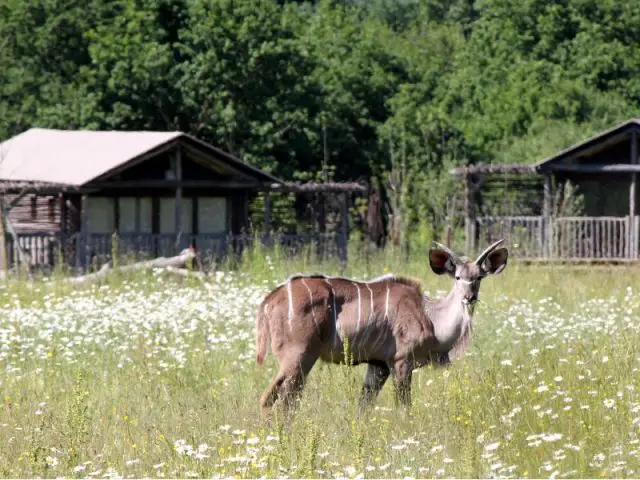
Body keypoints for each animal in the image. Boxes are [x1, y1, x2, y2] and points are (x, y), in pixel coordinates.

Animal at [255, 240, 510, 416]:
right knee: (278, 402)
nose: (469, 297)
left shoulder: (378, 365)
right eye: (457, 277)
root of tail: (269, 300)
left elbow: (363, 407)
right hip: (299, 357)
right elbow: (404, 408)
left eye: (479, 277)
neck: (430, 316)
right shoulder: (401, 362)